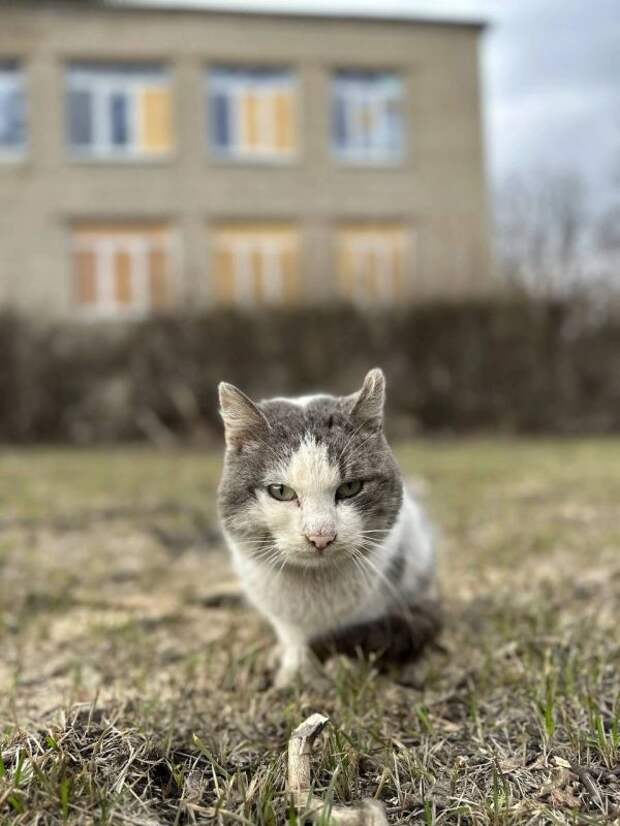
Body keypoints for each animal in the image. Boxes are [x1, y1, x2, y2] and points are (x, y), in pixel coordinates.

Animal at [218, 370, 440, 684]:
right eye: (280, 491)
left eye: (350, 488)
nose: (320, 536)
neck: (316, 586)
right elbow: (293, 637)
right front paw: (296, 670)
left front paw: (347, 669)